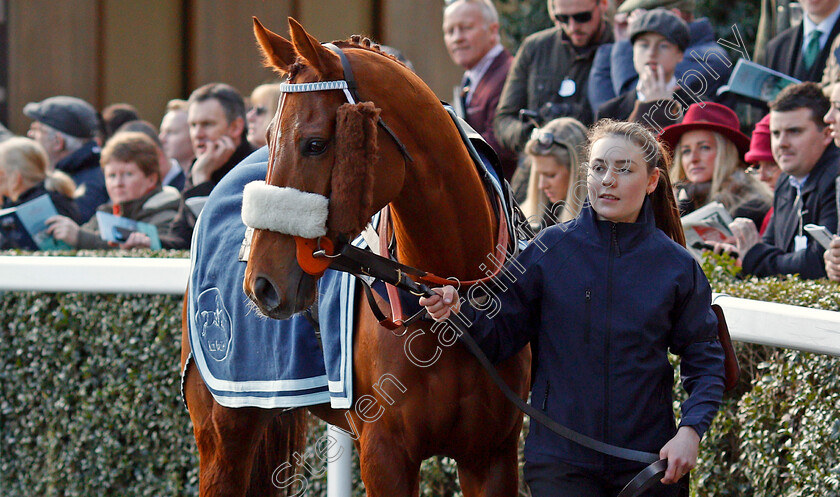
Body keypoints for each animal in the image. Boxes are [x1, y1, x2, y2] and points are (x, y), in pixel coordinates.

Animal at [185, 16, 532, 496]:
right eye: (270, 135)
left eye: (315, 143)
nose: (261, 284)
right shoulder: (385, 453)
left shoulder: (492, 454)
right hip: (224, 426)